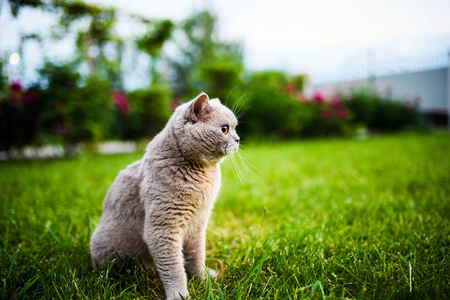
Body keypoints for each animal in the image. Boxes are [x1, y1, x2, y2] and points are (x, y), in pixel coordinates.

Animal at [89, 92, 241, 298]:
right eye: (224, 129)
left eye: (235, 128)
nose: (238, 139)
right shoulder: (163, 227)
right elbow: (173, 267)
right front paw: (179, 294)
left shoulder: (198, 224)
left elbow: (196, 254)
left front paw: (203, 277)